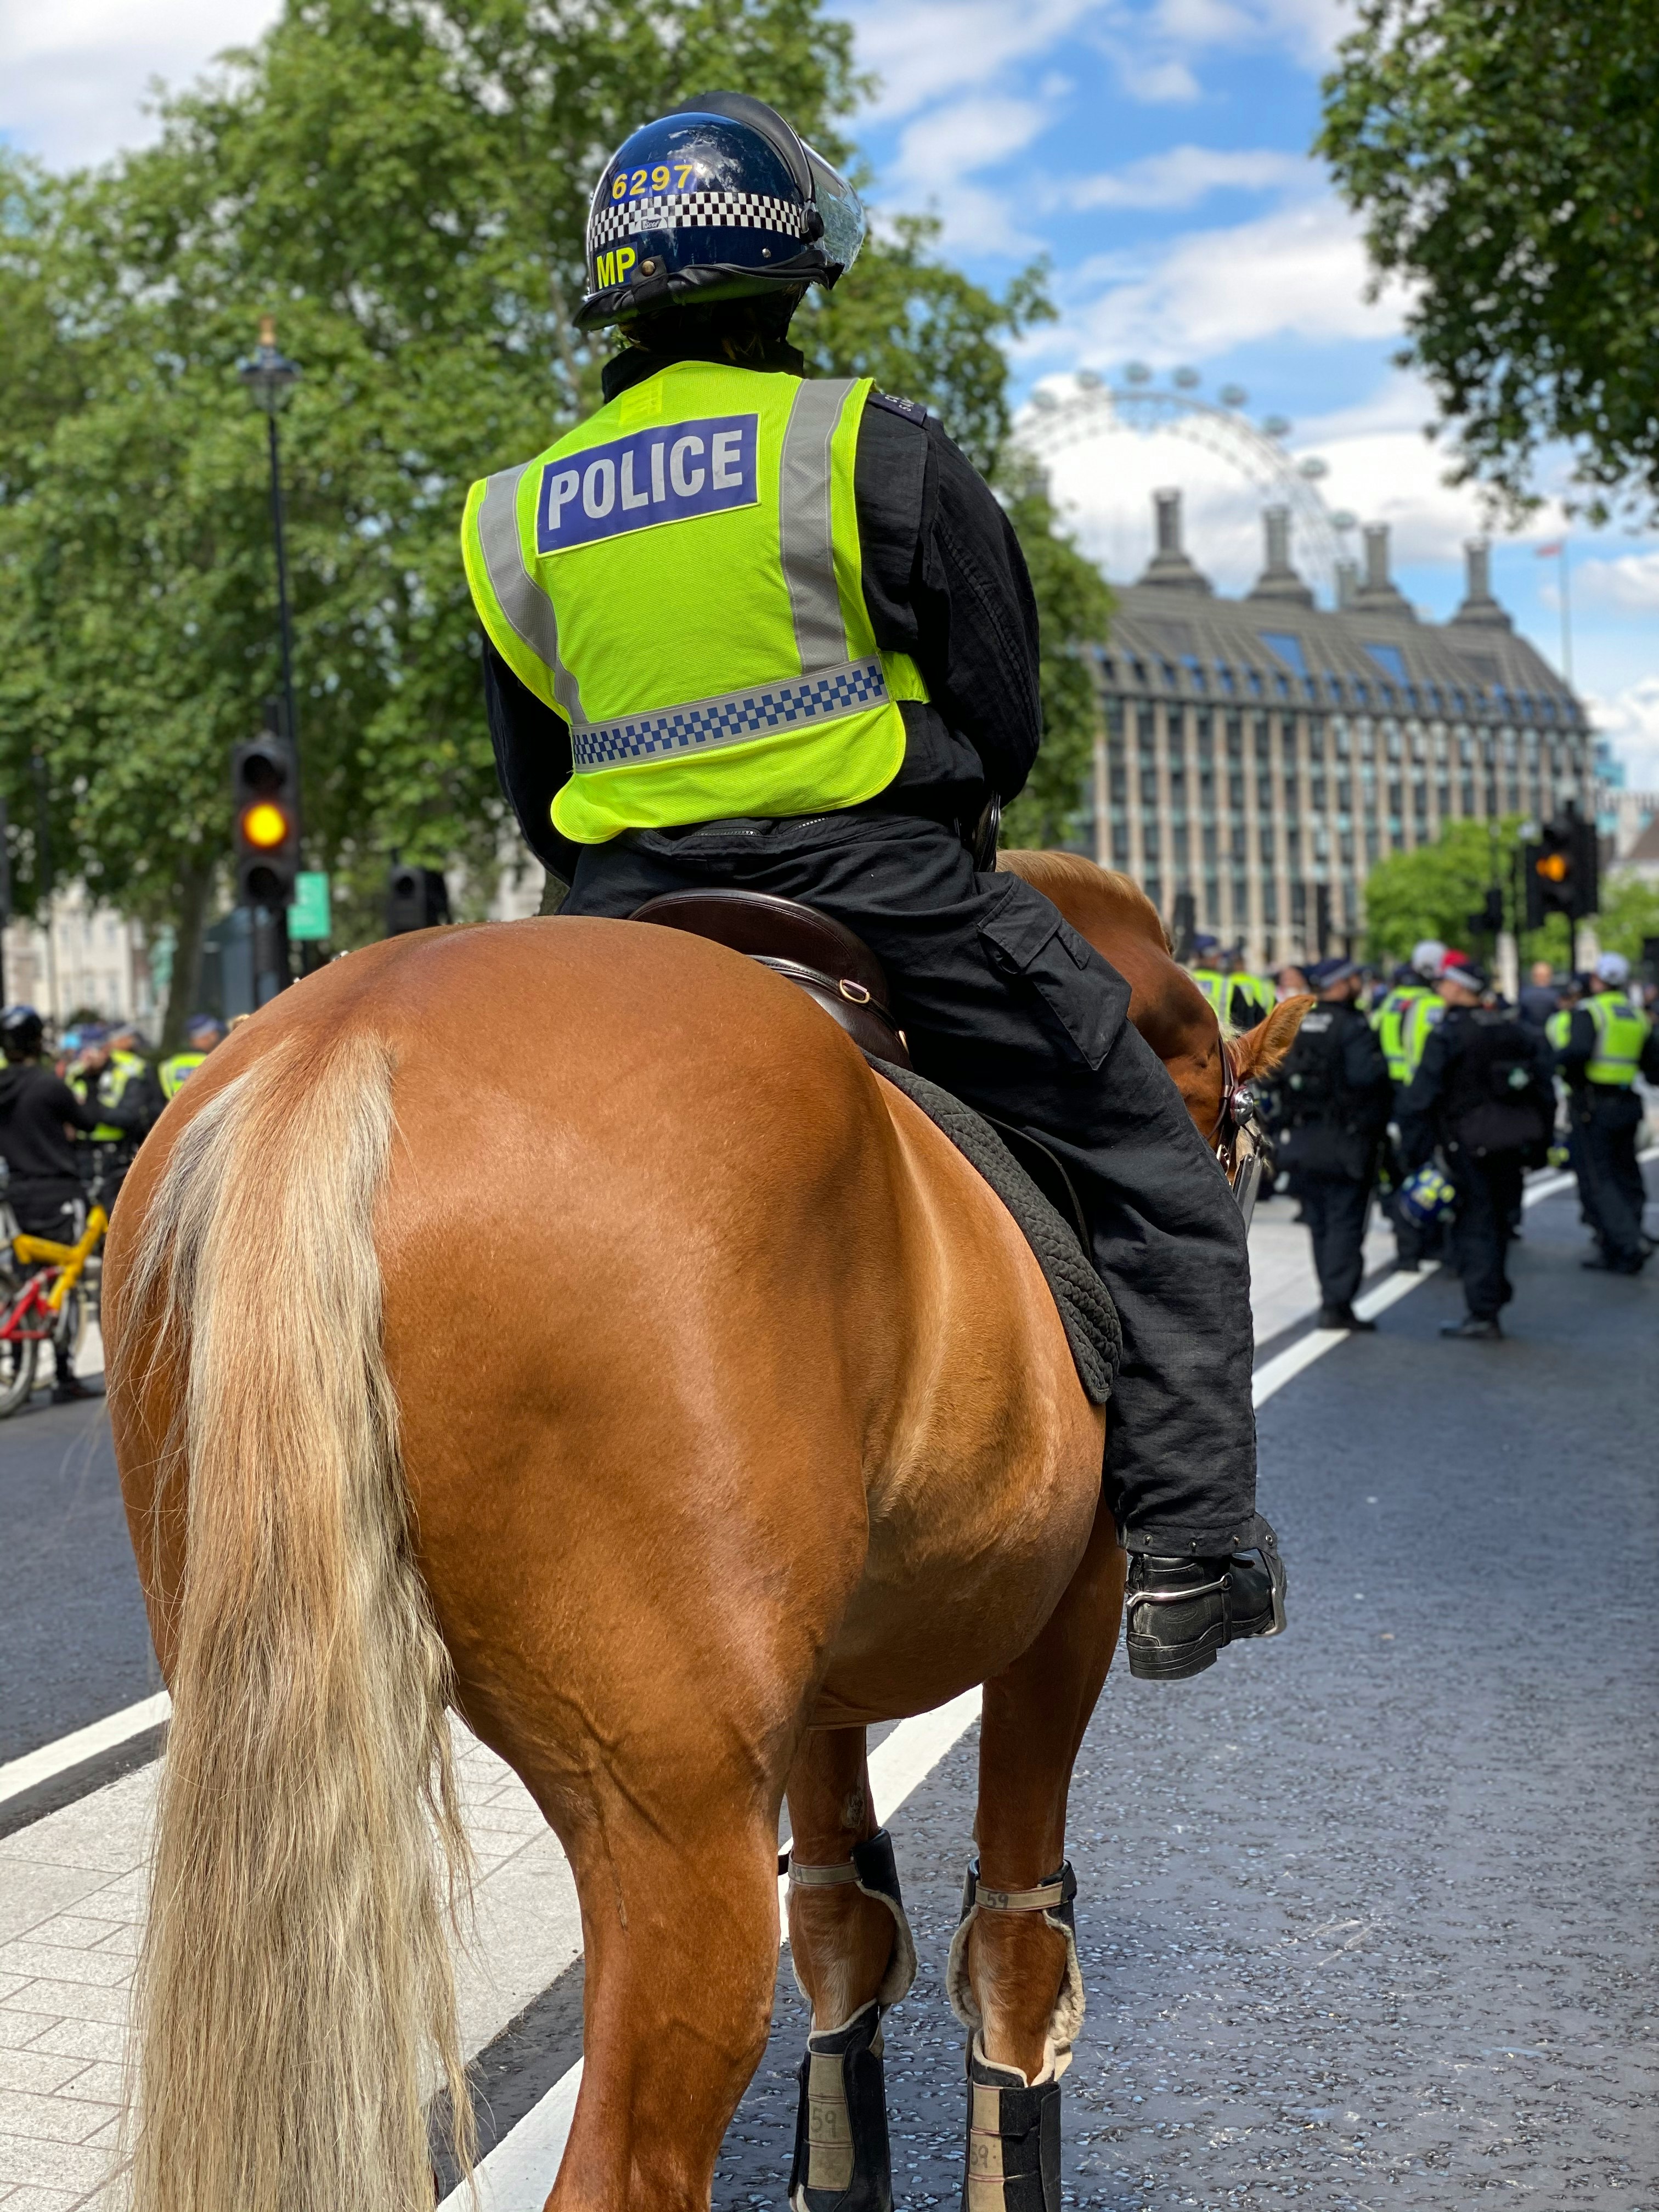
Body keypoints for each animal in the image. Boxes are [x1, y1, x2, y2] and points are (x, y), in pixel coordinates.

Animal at [107, 854, 1309, 2212]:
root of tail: (351, 1037)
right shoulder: (1069, 1611)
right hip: (671, 1816)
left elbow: (841, 1914)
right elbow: (1016, 1932)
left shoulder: (826, 1685)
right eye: (1238, 1128)